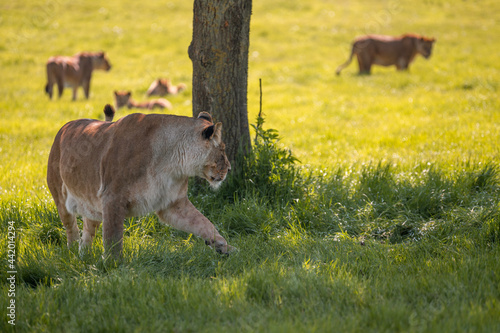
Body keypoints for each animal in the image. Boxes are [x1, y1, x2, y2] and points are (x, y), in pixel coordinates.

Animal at [47, 104, 232, 256]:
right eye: (222, 151)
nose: (230, 169)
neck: (171, 161)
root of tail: (66, 126)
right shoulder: (112, 197)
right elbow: (113, 237)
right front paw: (113, 266)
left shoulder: (174, 203)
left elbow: (203, 222)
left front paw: (224, 246)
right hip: (60, 196)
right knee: (70, 227)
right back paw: (72, 253)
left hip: (91, 204)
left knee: (88, 229)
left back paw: (84, 256)